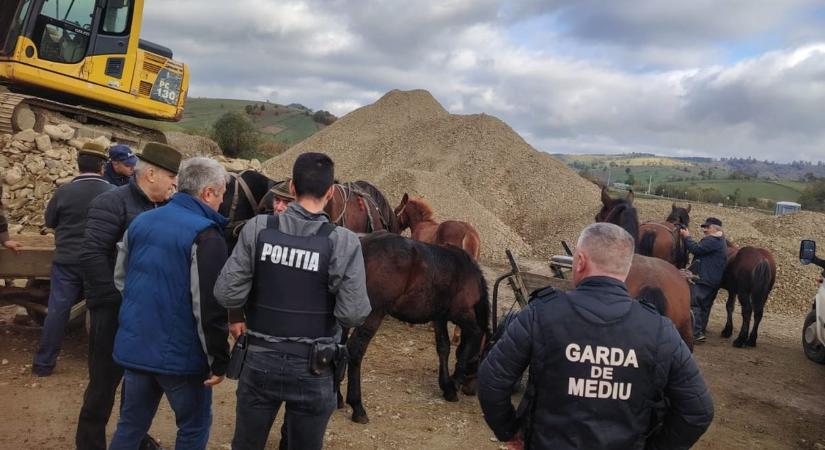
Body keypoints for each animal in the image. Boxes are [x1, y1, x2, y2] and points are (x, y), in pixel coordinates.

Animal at [342, 232, 490, 426]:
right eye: (481, 359)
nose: (471, 390)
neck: (469, 275)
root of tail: (364, 244)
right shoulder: (462, 315)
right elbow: (474, 337)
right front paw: (455, 381)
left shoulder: (439, 317)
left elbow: (444, 347)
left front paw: (447, 386)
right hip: (373, 313)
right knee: (355, 349)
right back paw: (357, 406)